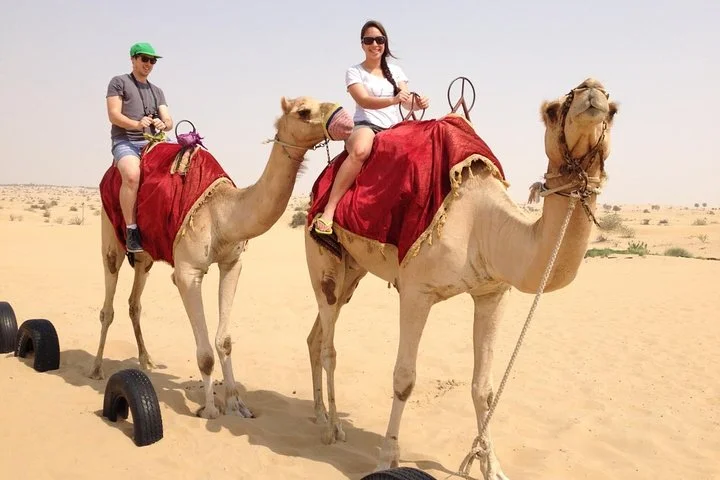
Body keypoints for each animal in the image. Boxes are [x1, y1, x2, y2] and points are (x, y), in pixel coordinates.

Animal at [91, 96, 342, 419]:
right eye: (303, 111)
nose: (341, 116)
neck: (223, 213)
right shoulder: (186, 273)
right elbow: (206, 355)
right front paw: (209, 410)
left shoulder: (232, 263)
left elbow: (224, 341)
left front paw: (236, 403)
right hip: (111, 234)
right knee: (108, 302)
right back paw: (96, 368)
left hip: (145, 256)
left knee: (135, 302)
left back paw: (147, 360)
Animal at [303, 78, 618, 479]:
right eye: (551, 111)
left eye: (613, 109)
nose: (592, 90)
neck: (483, 226)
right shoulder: (416, 290)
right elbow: (404, 378)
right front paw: (387, 457)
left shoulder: (492, 292)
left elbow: (484, 388)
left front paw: (491, 466)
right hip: (322, 258)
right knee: (328, 343)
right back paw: (332, 429)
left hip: (353, 271)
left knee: (317, 335)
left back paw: (318, 415)